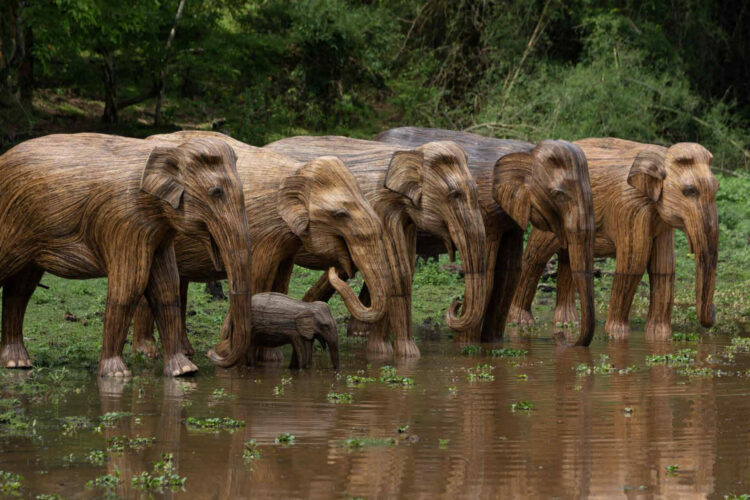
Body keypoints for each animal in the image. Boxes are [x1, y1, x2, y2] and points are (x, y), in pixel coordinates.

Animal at [0, 133, 254, 376]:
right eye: (216, 192)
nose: (213, 352)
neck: (169, 150)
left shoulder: (158, 232)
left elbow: (166, 287)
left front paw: (184, 371)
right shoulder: (124, 219)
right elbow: (129, 286)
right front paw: (116, 374)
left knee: (20, 288)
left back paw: (17, 363)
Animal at [131, 131, 390, 363]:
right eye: (340, 214)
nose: (337, 270)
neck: (296, 170)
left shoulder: (286, 241)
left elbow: (281, 281)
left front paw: (269, 357)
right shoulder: (262, 234)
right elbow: (259, 277)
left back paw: (186, 351)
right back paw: (148, 352)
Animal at [265, 135, 488, 358]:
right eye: (454, 194)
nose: (457, 301)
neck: (408, 152)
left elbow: (403, 268)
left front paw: (381, 351)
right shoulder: (379, 208)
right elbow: (398, 274)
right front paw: (408, 356)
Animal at [375, 127, 596, 345]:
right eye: (559, 194)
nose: (566, 340)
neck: (527, 150)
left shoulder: (510, 220)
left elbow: (509, 274)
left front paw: (493, 344)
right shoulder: (485, 210)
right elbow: (488, 275)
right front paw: (467, 346)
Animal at [508, 138, 718, 340]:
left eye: (716, 189)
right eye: (690, 191)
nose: (713, 314)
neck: (662, 153)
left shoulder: (660, 221)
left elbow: (663, 268)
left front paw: (659, 337)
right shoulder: (629, 207)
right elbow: (633, 266)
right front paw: (617, 336)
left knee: (568, 260)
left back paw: (568, 324)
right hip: (545, 212)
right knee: (536, 257)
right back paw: (521, 323)